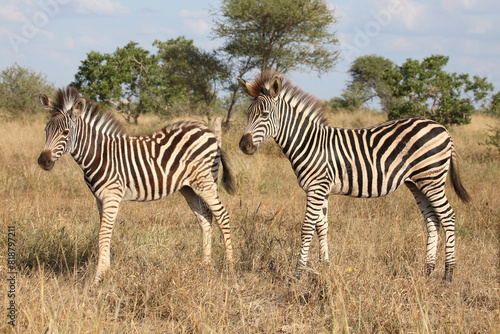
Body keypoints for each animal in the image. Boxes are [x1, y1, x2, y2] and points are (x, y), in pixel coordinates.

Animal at [37, 87, 236, 286]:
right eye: (46, 130)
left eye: (65, 132)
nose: (43, 161)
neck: (100, 154)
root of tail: (209, 132)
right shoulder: (99, 199)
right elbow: (105, 233)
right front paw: (105, 272)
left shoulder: (112, 195)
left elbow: (103, 234)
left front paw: (97, 278)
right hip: (189, 188)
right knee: (205, 218)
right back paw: (206, 265)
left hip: (205, 182)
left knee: (222, 216)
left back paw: (230, 268)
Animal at [237, 72, 468, 284]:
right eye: (248, 114)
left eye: (265, 114)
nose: (243, 146)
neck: (309, 143)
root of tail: (442, 128)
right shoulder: (322, 190)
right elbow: (322, 227)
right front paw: (324, 267)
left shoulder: (316, 188)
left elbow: (307, 229)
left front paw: (297, 275)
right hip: (417, 183)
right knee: (432, 220)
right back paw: (428, 271)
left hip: (432, 179)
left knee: (448, 216)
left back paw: (448, 275)